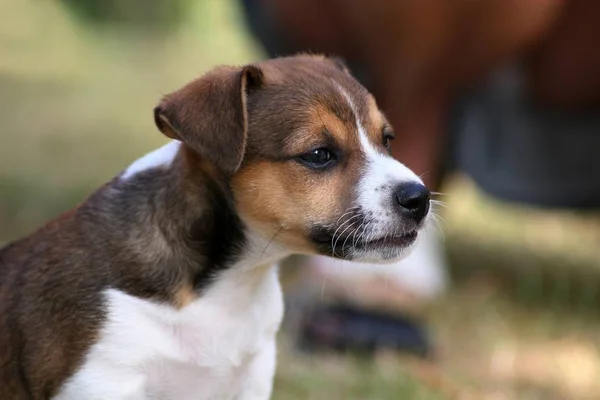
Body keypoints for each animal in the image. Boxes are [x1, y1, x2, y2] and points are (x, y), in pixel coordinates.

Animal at [0, 55, 432, 400]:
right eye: (319, 154)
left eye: (387, 140)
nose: (420, 199)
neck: (227, 284)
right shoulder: (104, 377)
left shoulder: (252, 377)